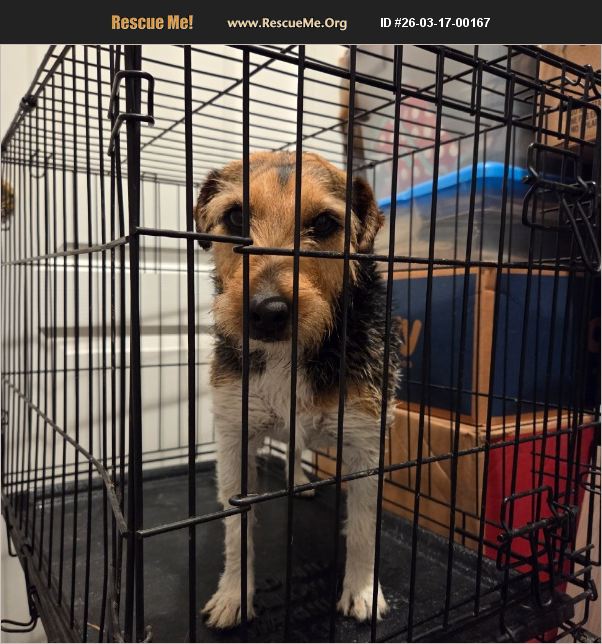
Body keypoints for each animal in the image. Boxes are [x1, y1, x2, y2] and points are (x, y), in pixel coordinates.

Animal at [194, 151, 401, 629]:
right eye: (235, 217)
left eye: (323, 224)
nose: (266, 312)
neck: (288, 355)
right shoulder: (234, 434)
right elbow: (237, 526)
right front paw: (234, 594)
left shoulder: (367, 440)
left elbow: (363, 527)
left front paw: (362, 590)